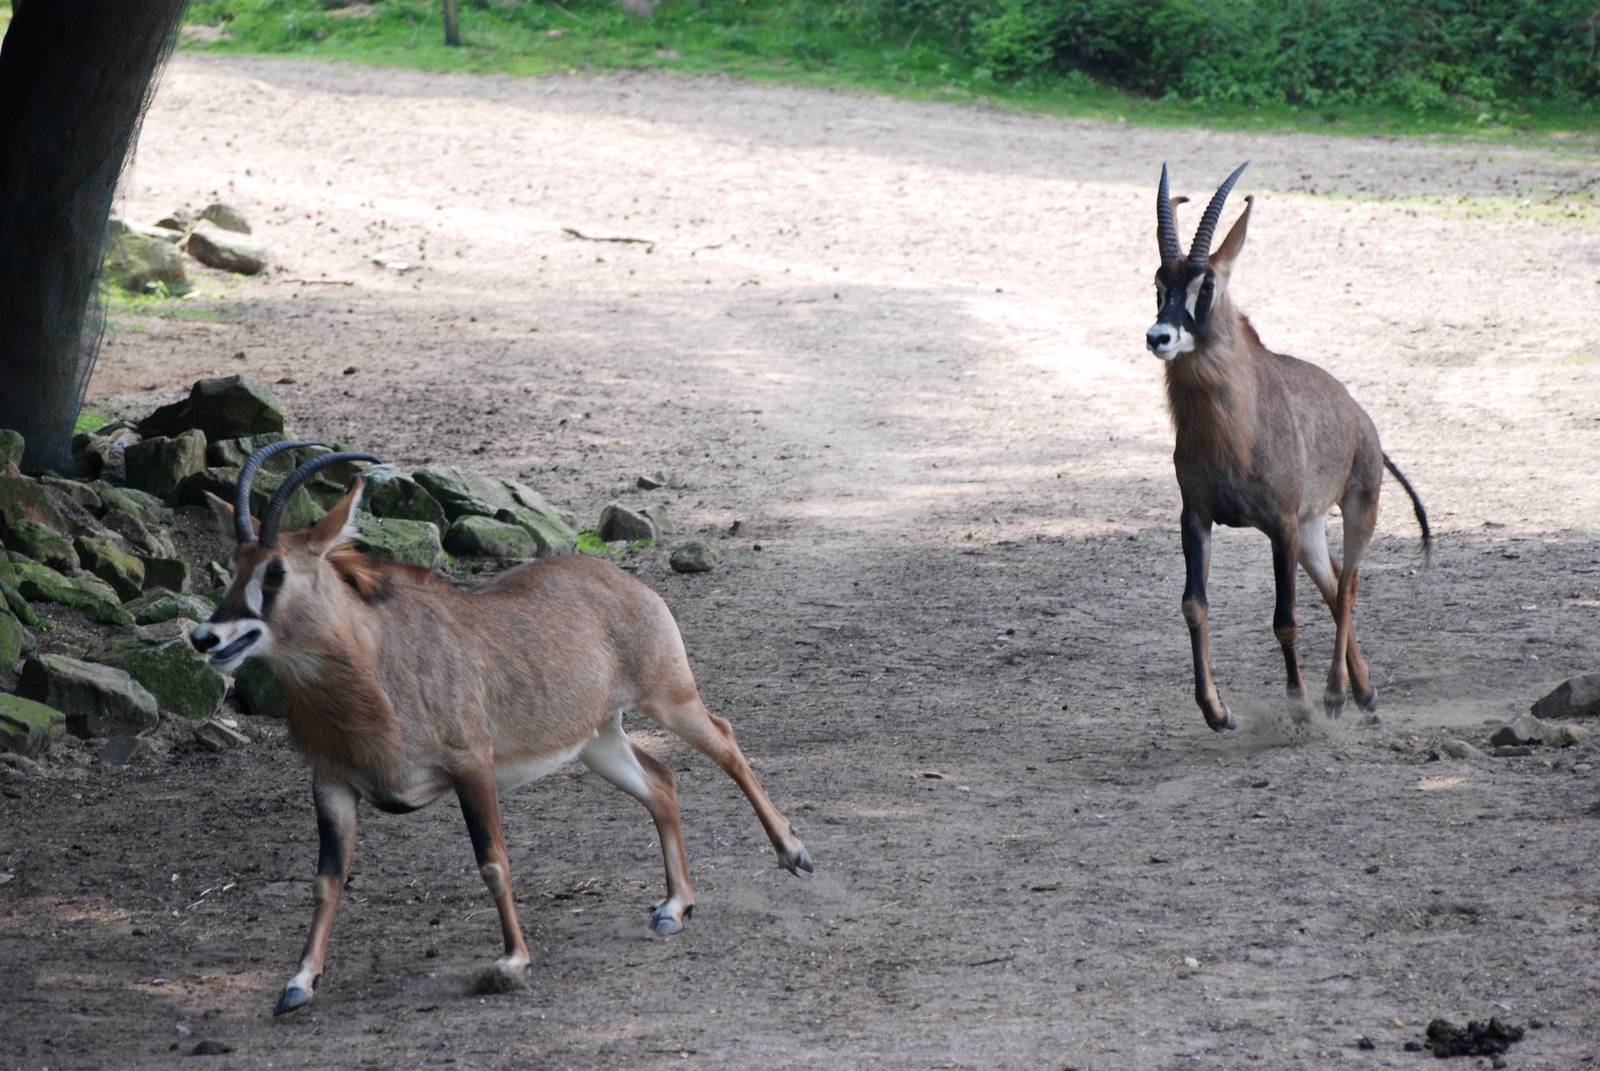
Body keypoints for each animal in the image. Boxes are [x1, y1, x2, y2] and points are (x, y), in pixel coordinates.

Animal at [189, 442, 813, 1015]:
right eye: (234, 565)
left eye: (276, 571)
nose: (205, 637)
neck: (370, 667)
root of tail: (627, 582)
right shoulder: (332, 784)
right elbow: (326, 881)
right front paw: (299, 981)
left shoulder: (472, 766)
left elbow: (493, 862)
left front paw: (514, 961)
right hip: (597, 741)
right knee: (661, 781)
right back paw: (673, 906)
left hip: (668, 697)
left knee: (725, 739)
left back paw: (793, 853)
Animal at [1146, 162, 1430, 731]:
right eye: (1159, 282)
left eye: (1207, 285)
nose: (1159, 336)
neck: (1233, 429)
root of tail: (1358, 415)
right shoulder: (1197, 515)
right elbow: (1194, 605)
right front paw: (1216, 711)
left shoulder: (1278, 523)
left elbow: (1285, 620)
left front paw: (1299, 706)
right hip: (1309, 529)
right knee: (1336, 583)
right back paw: (1364, 693)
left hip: (1356, 507)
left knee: (1348, 585)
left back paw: (1336, 694)